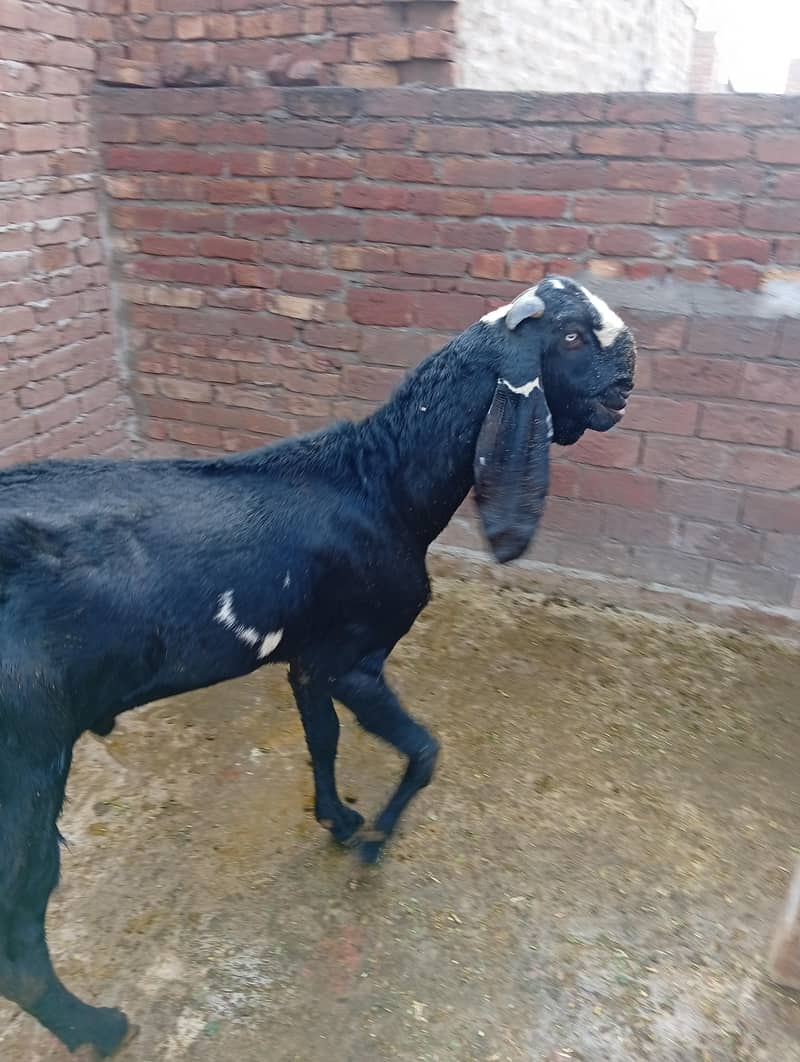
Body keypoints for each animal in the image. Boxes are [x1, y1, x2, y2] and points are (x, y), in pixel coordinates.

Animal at [0, 277, 635, 1057]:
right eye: (572, 337)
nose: (626, 386)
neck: (379, 484)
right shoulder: (353, 659)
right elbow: (425, 751)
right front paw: (374, 844)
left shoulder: (308, 659)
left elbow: (322, 741)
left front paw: (337, 820)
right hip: (25, 763)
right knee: (21, 925)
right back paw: (98, 1027)